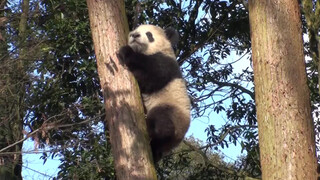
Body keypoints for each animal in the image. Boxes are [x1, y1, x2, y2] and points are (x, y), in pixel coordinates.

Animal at [119, 24, 191, 162]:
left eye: (149, 34)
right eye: (133, 31)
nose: (134, 35)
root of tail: (178, 137)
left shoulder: (166, 62)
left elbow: (152, 77)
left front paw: (126, 52)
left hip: (172, 109)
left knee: (162, 121)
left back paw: (153, 131)